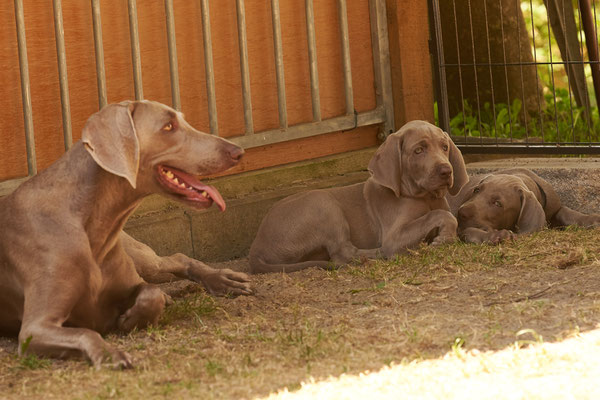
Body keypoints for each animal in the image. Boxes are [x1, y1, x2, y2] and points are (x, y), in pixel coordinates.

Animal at [0, 101, 251, 368]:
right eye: (168, 126)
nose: (238, 151)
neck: (92, 225)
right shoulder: (35, 328)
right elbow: (86, 332)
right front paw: (110, 353)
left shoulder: (133, 282)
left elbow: (151, 293)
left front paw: (131, 319)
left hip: (144, 260)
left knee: (176, 260)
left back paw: (222, 279)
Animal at [248, 120, 468, 274]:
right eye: (418, 150)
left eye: (444, 147)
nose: (446, 171)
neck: (425, 197)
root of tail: (256, 248)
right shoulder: (394, 235)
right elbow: (441, 215)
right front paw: (444, 238)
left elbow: (448, 215)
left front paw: (446, 236)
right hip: (323, 204)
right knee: (342, 253)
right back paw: (377, 254)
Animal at [448, 166, 600, 244]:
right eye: (476, 190)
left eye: (498, 203)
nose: (461, 213)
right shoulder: (462, 228)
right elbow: (470, 231)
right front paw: (495, 235)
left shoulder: (554, 208)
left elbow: (568, 213)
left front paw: (592, 219)